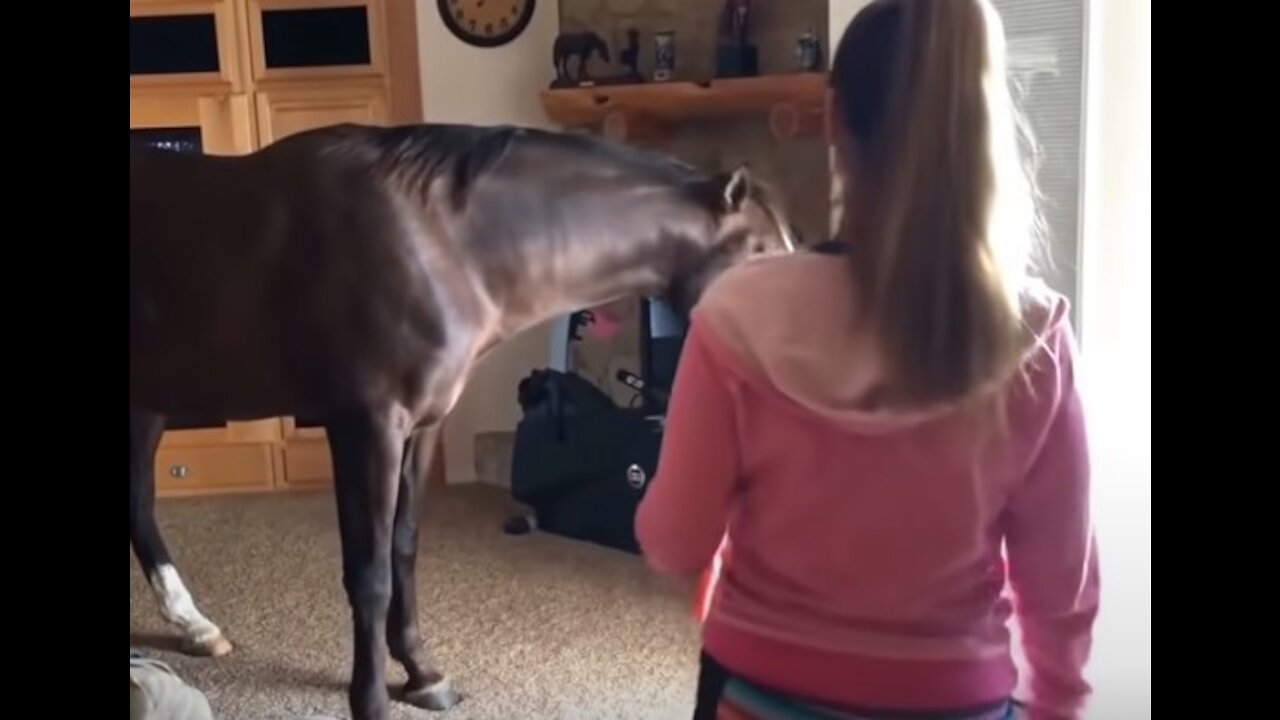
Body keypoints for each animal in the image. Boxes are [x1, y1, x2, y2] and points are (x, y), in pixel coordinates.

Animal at [127, 122, 788, 717]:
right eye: (759, 255)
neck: (441, 243)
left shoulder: (421, 428)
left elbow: (404, 548)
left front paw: (422, 673)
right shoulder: (368, 426)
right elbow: (369, 572)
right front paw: (371, 700)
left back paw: (193, 626)